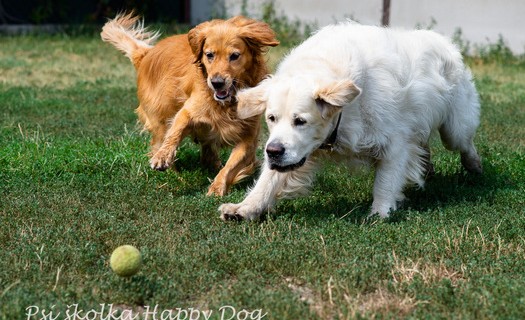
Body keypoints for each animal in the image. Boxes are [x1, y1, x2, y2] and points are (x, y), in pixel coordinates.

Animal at [99, 13, 278, 195]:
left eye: (234, 56)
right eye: (209, 55)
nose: (216, 83)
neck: (225, 104)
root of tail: (147, 54)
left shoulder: (249, 137)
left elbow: (231, 165)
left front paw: (218, 186)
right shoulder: (188, 111)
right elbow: (175, 132)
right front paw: (163, 157)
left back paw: (211, 163)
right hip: (160, 117)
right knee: (160, 140)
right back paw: (175, 174)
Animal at [218, 22, 484, 221]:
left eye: (300, 121)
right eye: (271, 118)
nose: (273, 151)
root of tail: (443, 41)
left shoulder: (395, 143)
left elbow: (386, 181)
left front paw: (380, 212)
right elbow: (268, 180)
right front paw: (244, 208)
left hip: (454, 128)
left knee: (464, 143)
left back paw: (474, 166)